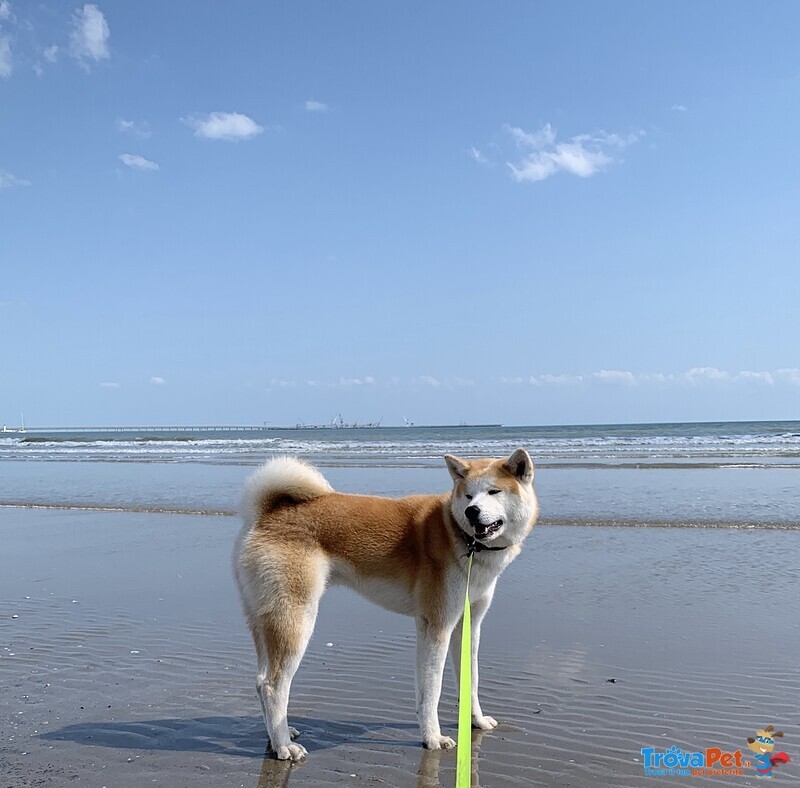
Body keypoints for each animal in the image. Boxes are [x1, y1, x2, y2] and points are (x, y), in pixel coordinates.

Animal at [234, 446, 540, 760]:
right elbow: (432, 690)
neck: (459, 535)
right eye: (468, 495)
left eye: (493, 491)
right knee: (272, 686)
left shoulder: (468, 626)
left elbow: (470, 682)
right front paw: (433, 738)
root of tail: (267, 512)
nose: (472, 511)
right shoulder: (438, 626)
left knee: (260, 681)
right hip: (295, 620)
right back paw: (284, 745)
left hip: (265, 620)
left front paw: (475, 721)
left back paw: (276, 736)